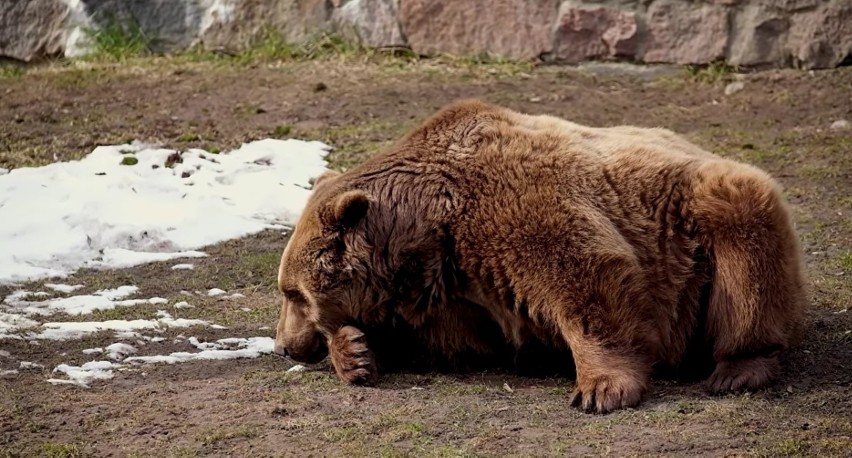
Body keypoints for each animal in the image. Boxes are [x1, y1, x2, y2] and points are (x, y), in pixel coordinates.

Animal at [272, 98, 804, 414]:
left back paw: (738, 369)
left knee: (744, 242)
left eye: (293, 293)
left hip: (699, 214)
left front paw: (601, 389)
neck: (425, 236)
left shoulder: (513, 214)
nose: (284, 346)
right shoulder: (451, 298)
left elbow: (586, 281)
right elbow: (445, 345)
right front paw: (355, 353)